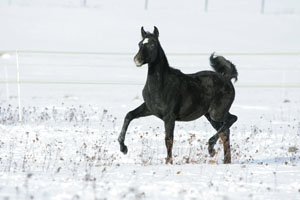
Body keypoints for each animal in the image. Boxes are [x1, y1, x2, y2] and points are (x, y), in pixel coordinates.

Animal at [118, 26, 238, 164]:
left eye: (153, 44)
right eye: (140, 44)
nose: (137, 60)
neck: (161, 85)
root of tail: (227, 78)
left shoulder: (169, 117)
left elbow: (168, 139)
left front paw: (169, 162)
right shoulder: (149, 108)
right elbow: (129, 115)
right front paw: (123, 148)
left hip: (216, 113)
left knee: (231, 120)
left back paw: (211, 148)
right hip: (210, 115)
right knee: (225, 132)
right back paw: (225, 160)